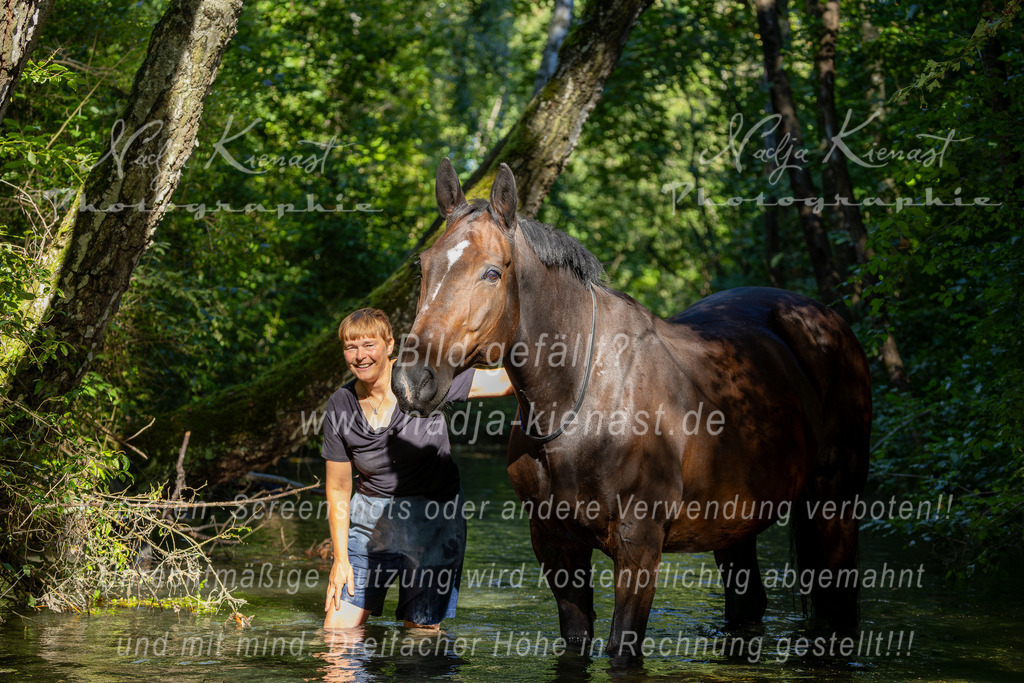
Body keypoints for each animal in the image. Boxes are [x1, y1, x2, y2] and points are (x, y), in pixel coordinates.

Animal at [392, 159, 871, 658]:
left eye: (491, 273)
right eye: (423, 268)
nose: (412, 380)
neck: (580, 405)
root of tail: (822, 319)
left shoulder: (639, 548)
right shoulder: (556, 546)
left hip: (835, 503)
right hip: (736, 524)